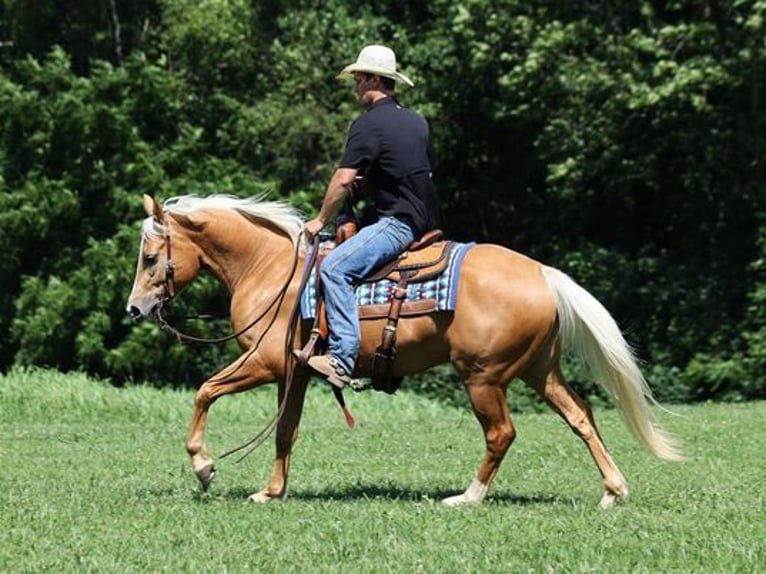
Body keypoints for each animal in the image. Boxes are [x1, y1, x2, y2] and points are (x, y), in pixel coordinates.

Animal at [127, 195, 684, 508]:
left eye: (151, 257)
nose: (134, 308)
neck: (270, 268)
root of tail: (542, 273)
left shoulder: (265, 363)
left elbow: (204, 391)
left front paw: (204, 466)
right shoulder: (295, 373)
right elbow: (286, 431)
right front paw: (271, 491)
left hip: (483, 377)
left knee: (501, 434)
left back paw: (468, 497)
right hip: (539, 371)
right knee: (581, 417)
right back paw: (613, 490)